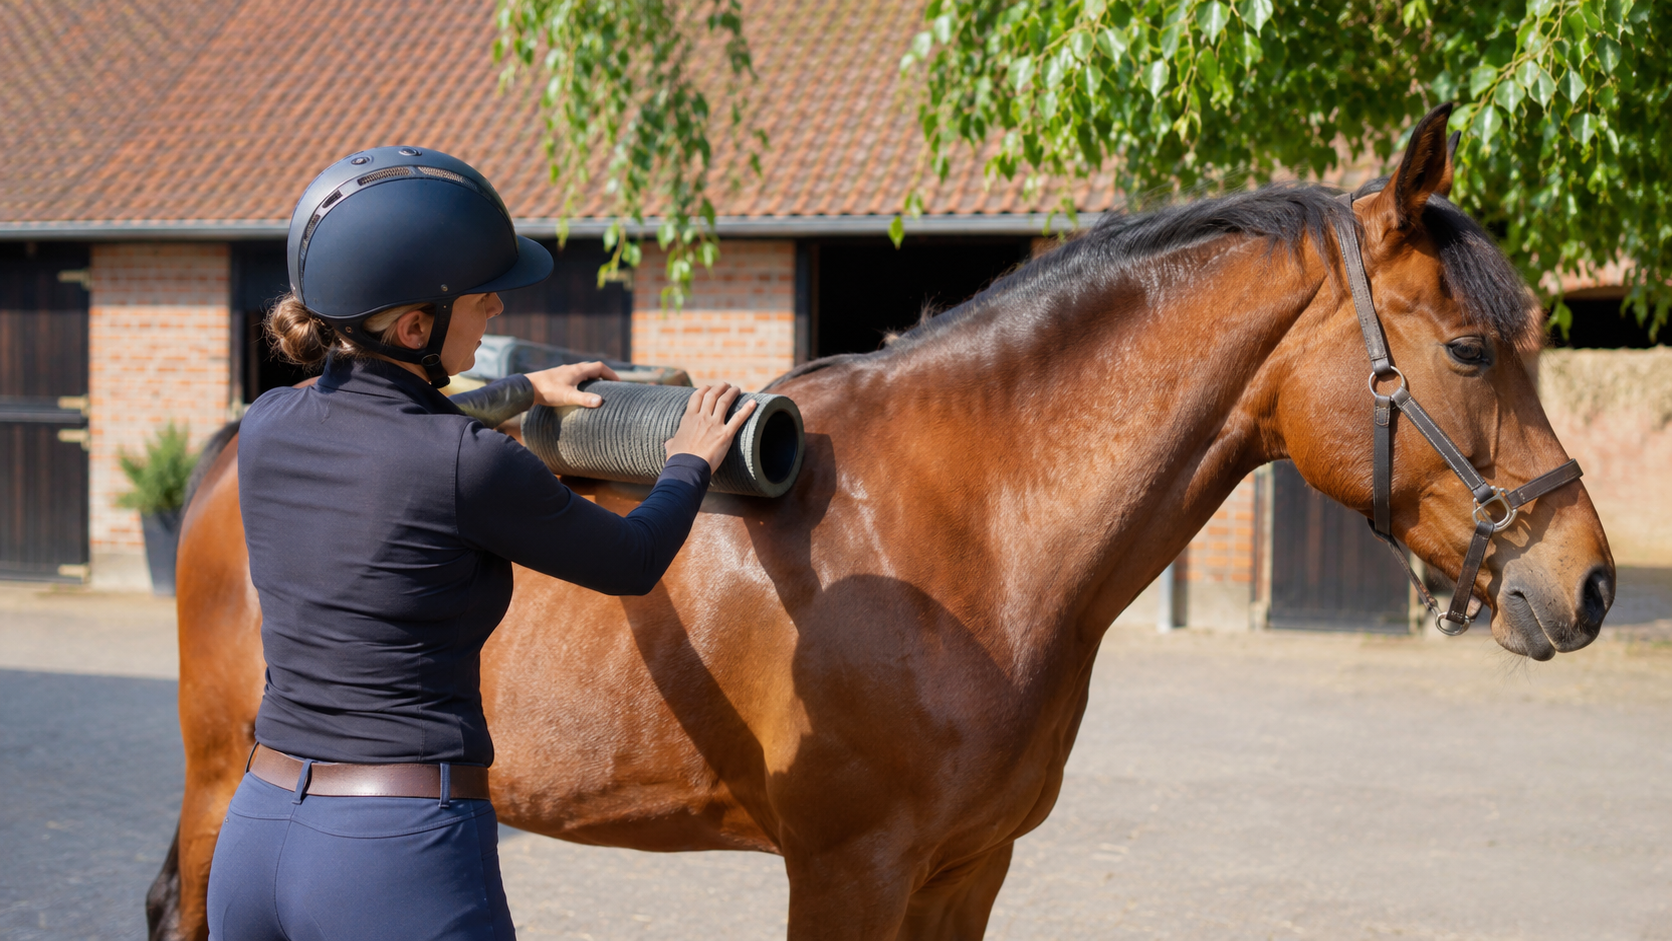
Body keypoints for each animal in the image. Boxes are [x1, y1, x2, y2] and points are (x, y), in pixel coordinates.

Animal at [148, 105, 1612, 940]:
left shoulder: (968, 870)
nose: (1588, 583)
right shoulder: (846, 870)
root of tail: (238, 442)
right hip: (227, 780)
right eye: (1471, 349)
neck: (973, 537)